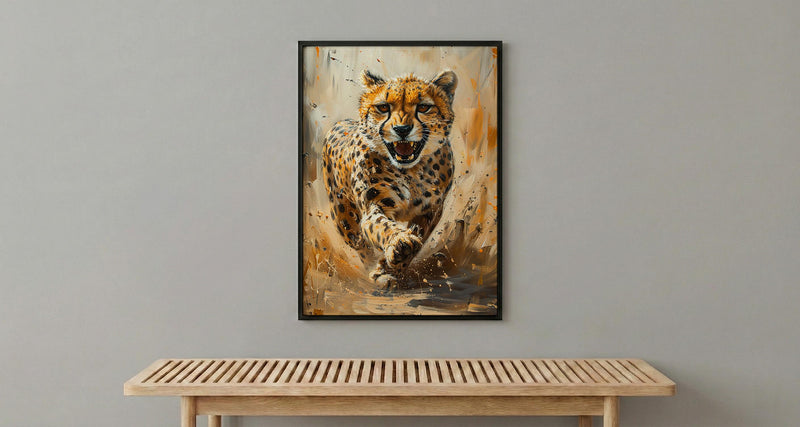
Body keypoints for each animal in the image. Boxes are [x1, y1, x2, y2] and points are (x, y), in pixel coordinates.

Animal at [321, 69, 457, 288]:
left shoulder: (431, 211)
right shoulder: (373, 205)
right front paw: (399, 245)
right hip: (344, 219)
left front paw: (395, 265)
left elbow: (418, 236)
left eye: (424, 107)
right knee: (361, 246)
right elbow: (379, 225)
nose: (402, 129)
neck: (410, 171)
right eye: (383, 107)